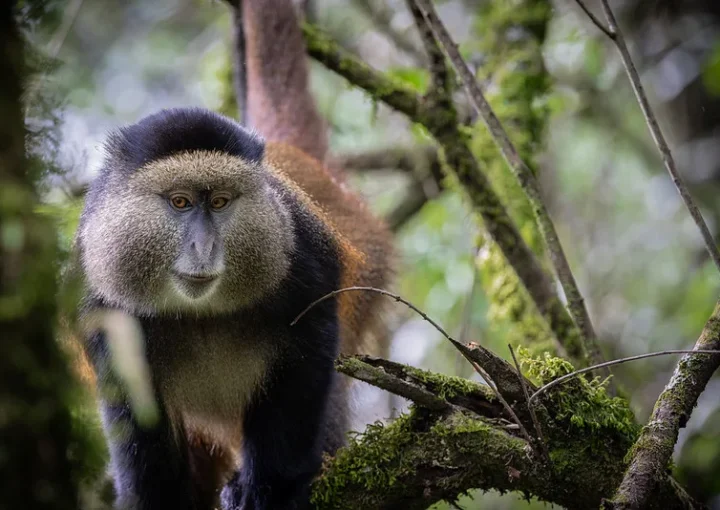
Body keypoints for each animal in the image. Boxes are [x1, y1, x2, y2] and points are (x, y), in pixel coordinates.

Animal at [66, 1, 395, 509]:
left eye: (220, 202)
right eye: (181, 202)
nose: (203, 247)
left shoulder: (305, 262)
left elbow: (307, 354)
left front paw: (268, 488)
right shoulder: (99, 298)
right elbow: (134, 406)